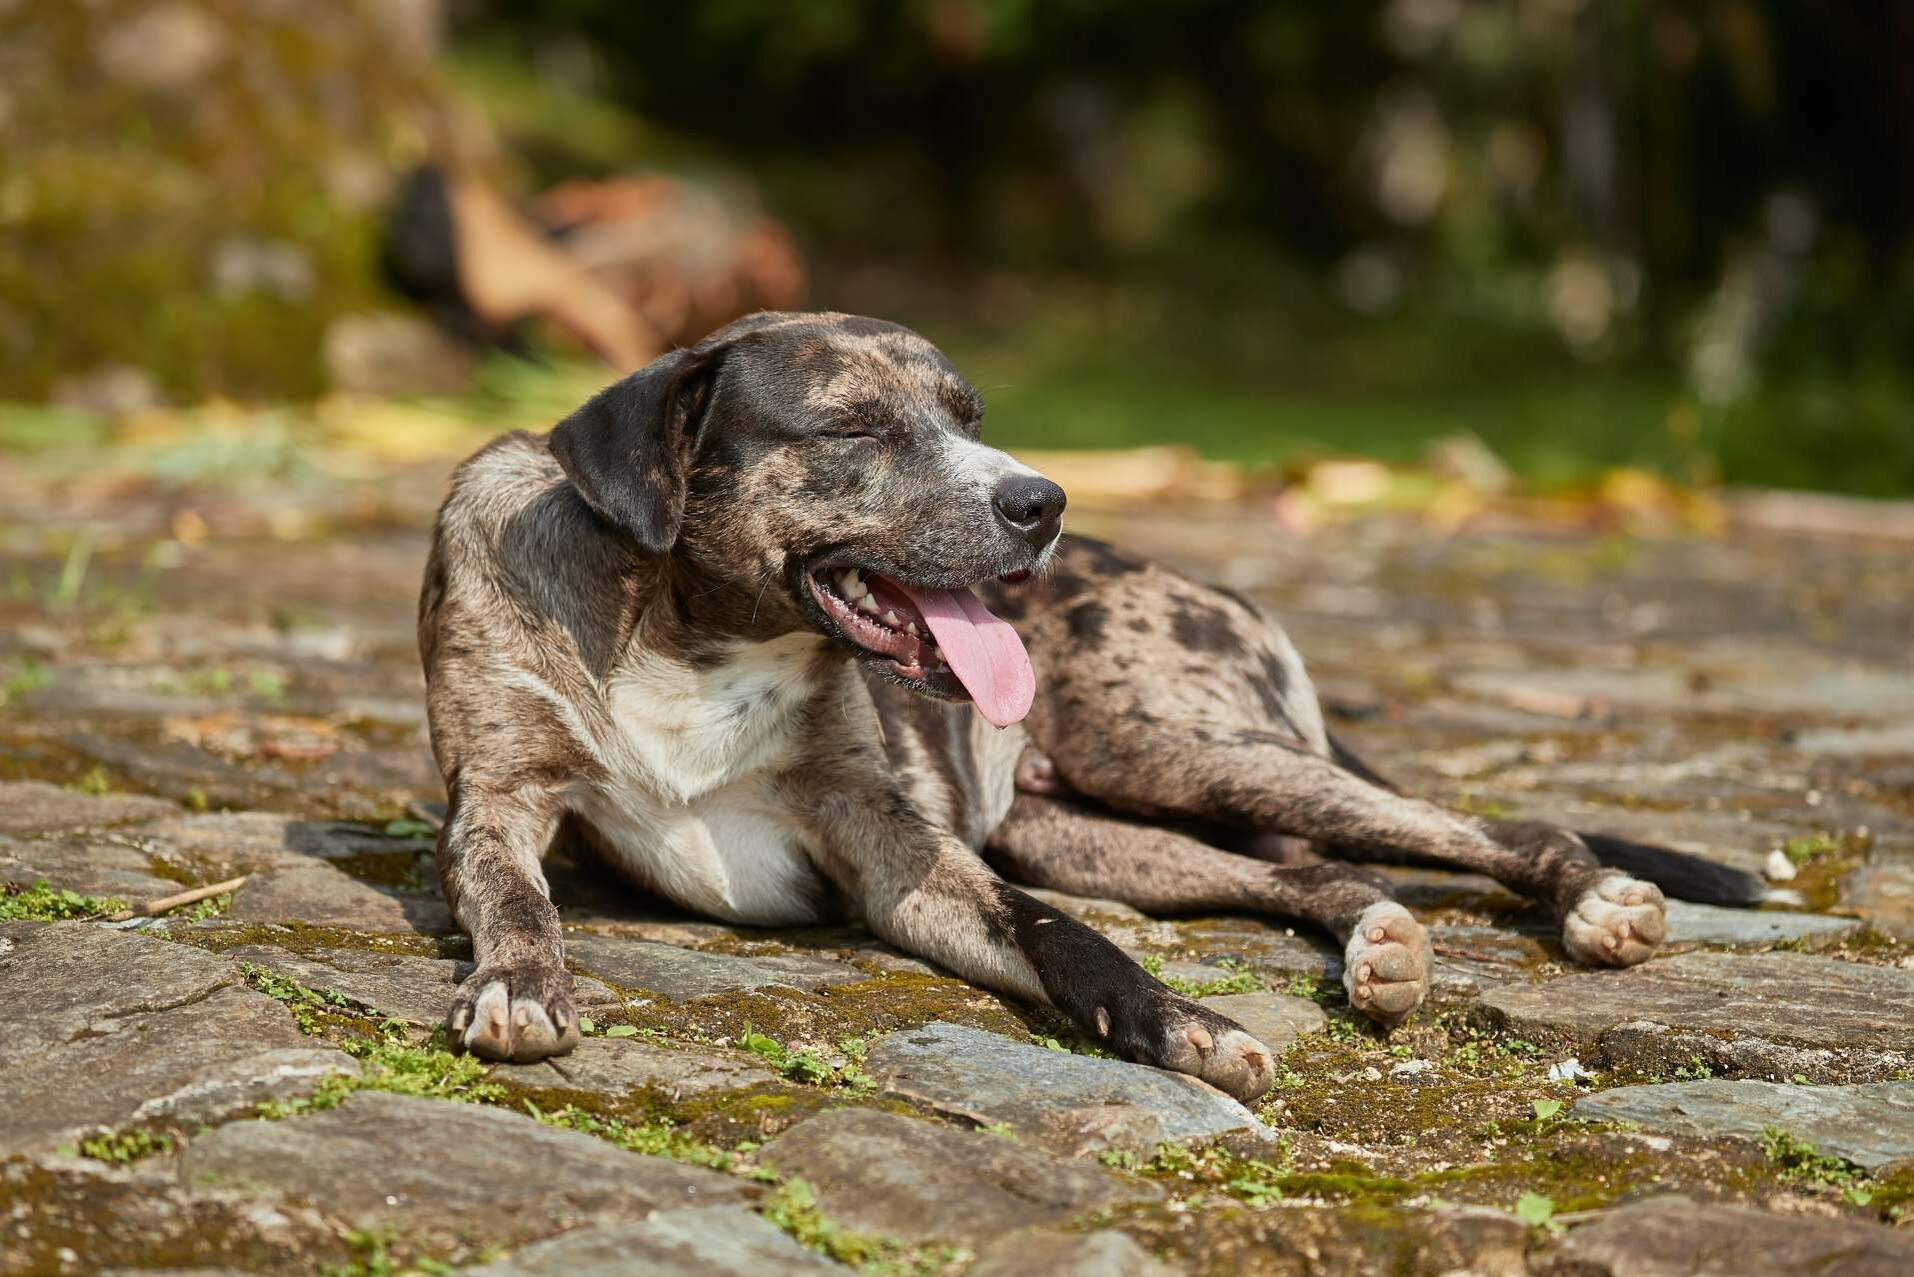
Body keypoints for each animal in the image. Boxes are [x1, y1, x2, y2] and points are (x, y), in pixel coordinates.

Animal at [419, 306, 1760, 1102]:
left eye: (971, 417)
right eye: (854, 426)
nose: (1041, 503)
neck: (692, 630)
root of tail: (1213, 582)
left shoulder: (902, 851)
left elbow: (1064, 938)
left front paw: (1180, 1025)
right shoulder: (493, 803)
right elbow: (516, 896)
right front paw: (522, 980)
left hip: (1182, 748)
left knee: (1486, 825)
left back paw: (1592, 899)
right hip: (1100, 828)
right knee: (1314, 871)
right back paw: (1378, 942)